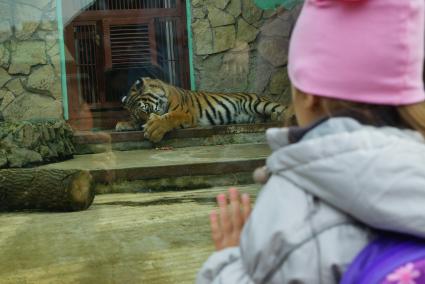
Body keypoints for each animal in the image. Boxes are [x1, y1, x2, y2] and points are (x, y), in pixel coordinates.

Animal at [116, 77, 286, 142]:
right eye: (138, 118)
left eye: (145, 111)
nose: (143, 125)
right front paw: (122, 125)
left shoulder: (185, 113)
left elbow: (169, 117)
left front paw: (153, 129)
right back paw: (273, 118)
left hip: (257, 104)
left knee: (284, 108)